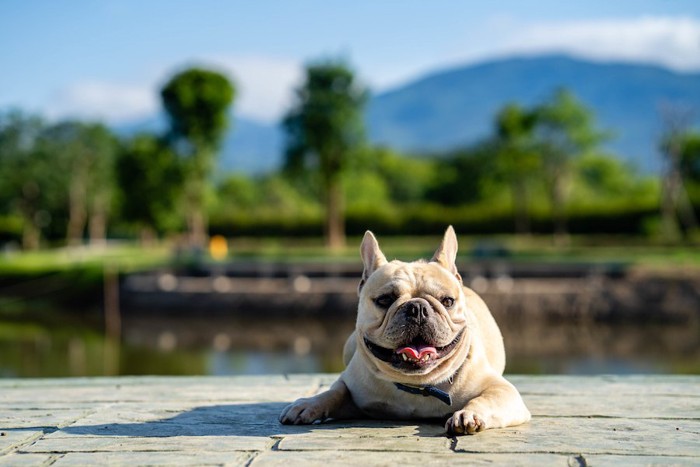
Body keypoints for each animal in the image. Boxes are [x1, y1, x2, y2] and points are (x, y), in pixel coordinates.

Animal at [278, 227, 532, 436]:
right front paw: (307, 404)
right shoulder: (349, 386)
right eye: (384, 300)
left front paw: (468, 414)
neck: (417, 386)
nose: (417, 308)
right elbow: (334, 392)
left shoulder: (504, 392)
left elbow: (485, 400)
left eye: (447, 301)